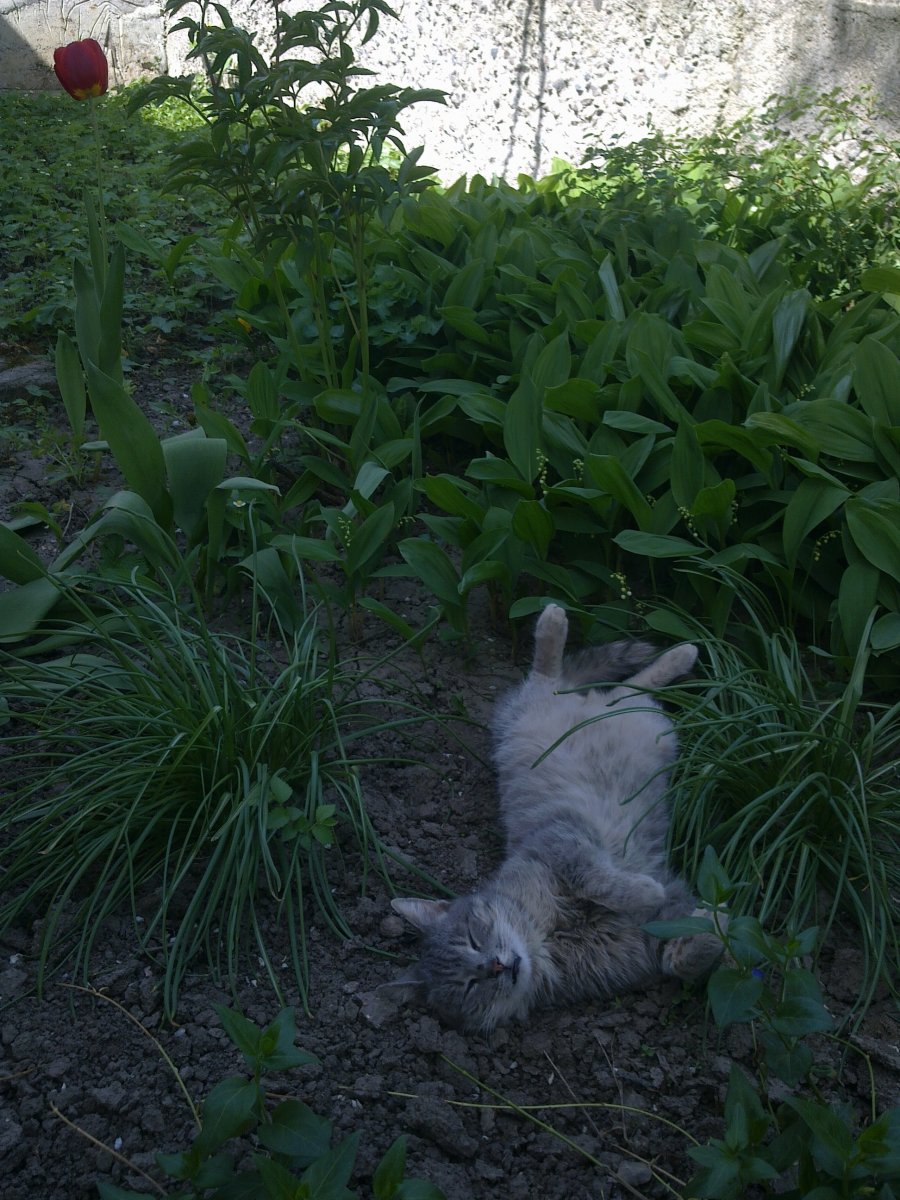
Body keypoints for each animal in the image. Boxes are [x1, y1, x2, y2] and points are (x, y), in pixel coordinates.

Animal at [380, 603, 724, 1035]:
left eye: (474, 938)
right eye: (470, 987)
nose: (497, 966)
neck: (545, 935)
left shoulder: (563, 839)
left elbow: (598, 879)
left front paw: (647, 893)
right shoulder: (648, 937)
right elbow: (682, 954)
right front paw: (714, 928)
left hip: (559, 708)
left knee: (563, 679)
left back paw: (567, 626)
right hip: (632, 716)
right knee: (627, 690)